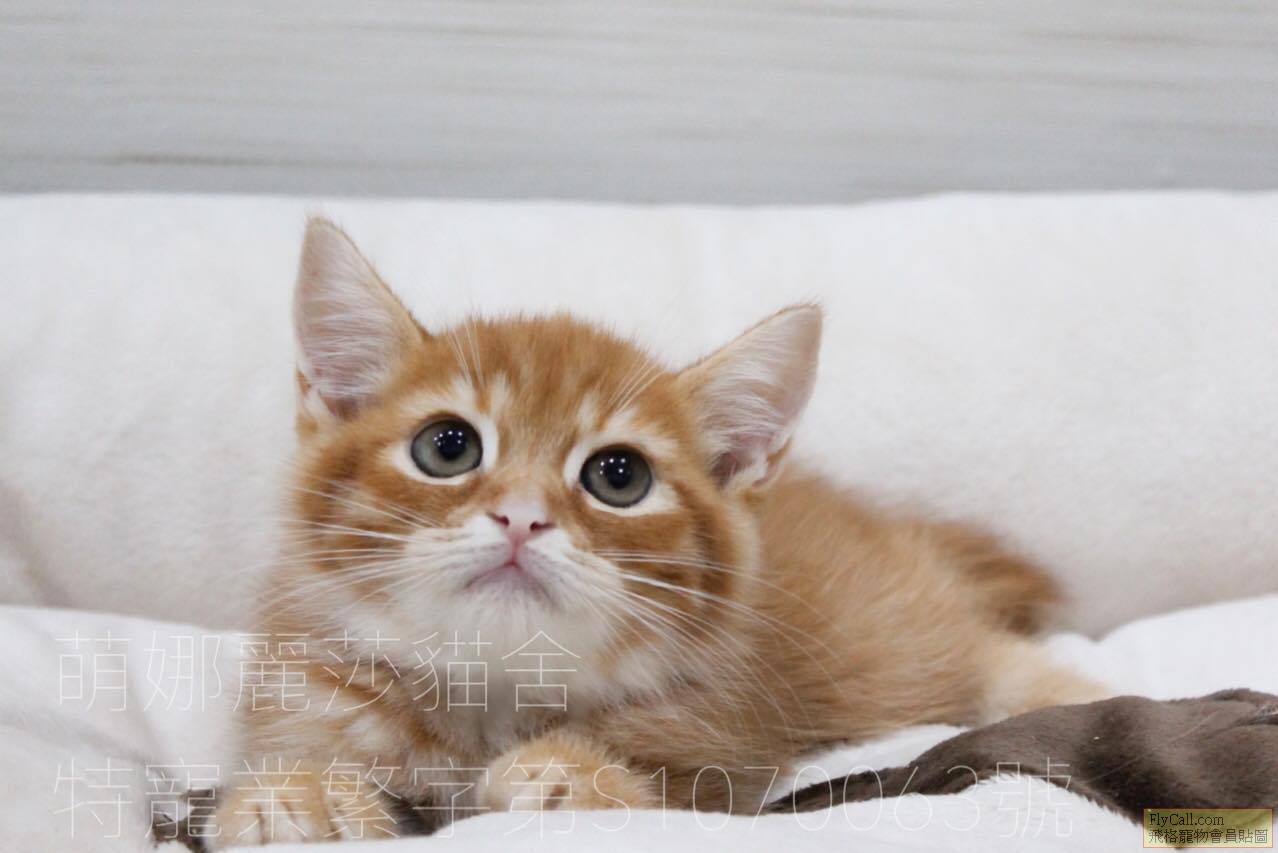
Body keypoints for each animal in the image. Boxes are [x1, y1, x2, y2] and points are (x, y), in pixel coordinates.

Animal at [210, 217, 1106, 846]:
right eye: (447, 446)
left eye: (619, 476)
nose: (522, 515)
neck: (495, 688)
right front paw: (298, 795)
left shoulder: (725, 755)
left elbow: (658, 792)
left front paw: (566, 773)